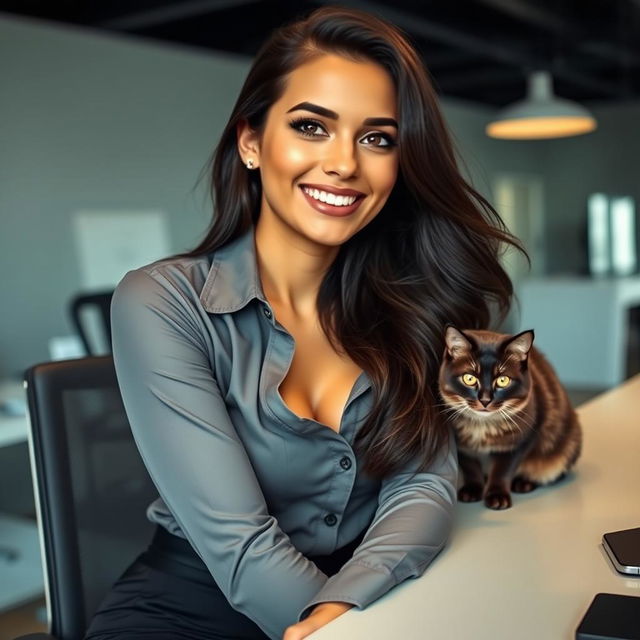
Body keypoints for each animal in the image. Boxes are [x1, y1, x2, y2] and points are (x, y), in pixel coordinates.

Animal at [440, 324, 580, 510]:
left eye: (503, 380)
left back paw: (523, 483)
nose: (485, 400)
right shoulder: (462, 446)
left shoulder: (521, 440)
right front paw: (473, 490)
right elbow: (471, 468)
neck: (482, 425)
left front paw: (497, 497)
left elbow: (502, 470)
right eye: (469, 378)